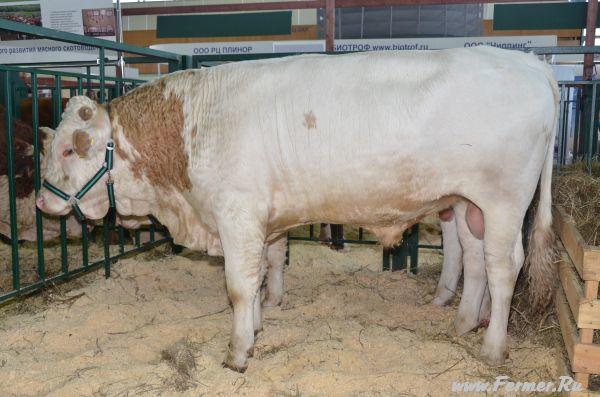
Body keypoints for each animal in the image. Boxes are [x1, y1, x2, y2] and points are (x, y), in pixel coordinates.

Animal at [38, 46, 556, 372]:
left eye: (66, 149)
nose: (41, 200)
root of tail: (528, 62)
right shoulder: (263, 221)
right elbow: (262, 274)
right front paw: (258, 325)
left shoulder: (237, 213)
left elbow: (239, 285)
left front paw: (238, 351)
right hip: (469, 204)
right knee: (475, 259)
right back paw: (464, 322)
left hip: (504, 200)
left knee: (503, 268)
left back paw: (492, 347)